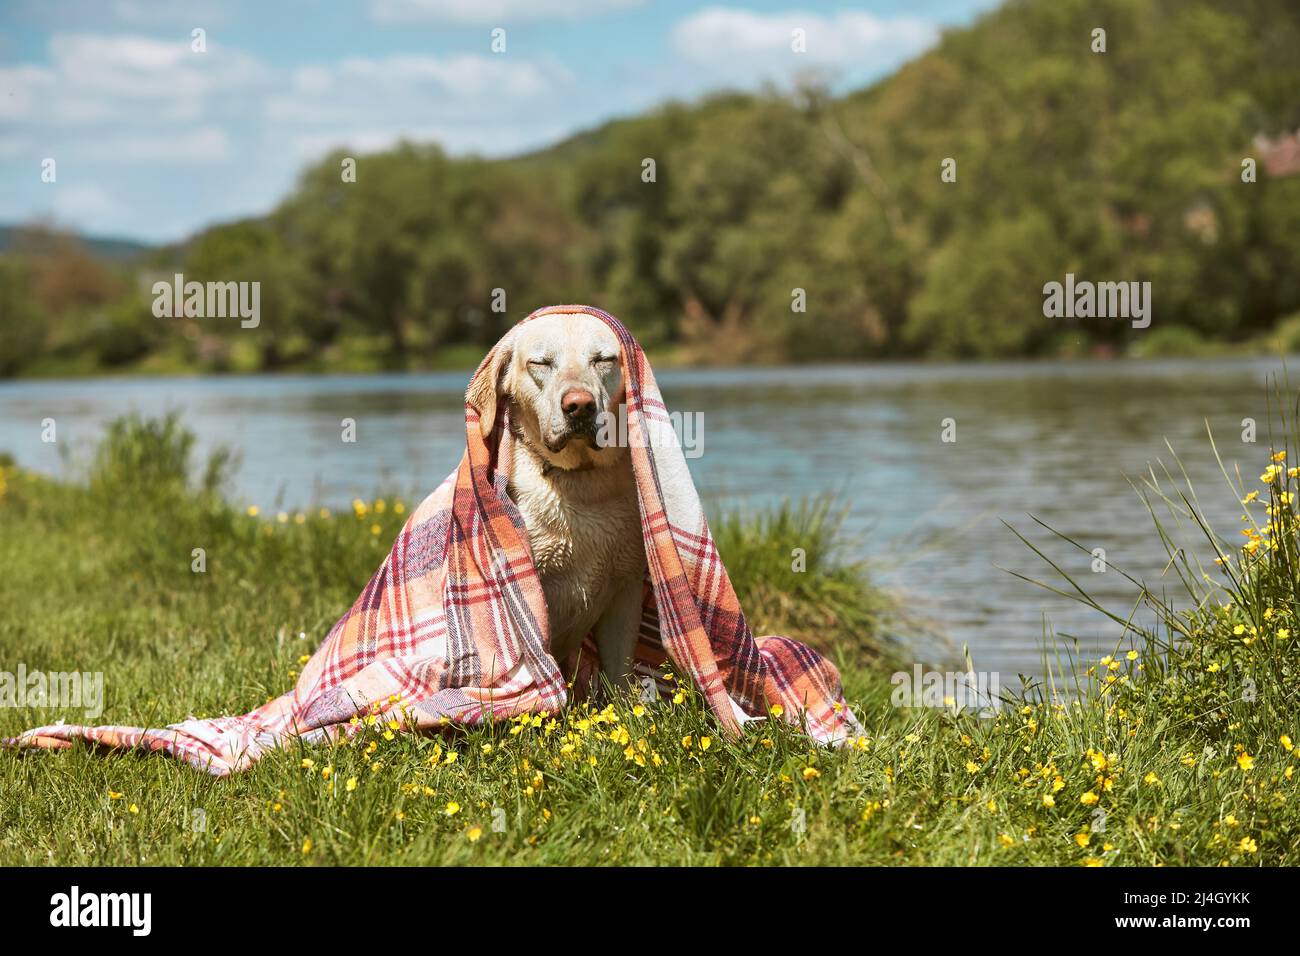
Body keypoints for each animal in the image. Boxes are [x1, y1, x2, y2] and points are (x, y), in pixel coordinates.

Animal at [470, 314, 647, 686]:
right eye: (540, 363)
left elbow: (621, 677)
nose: (579, 406)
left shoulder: (626, 589)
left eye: (603, 359)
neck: (581, 482)